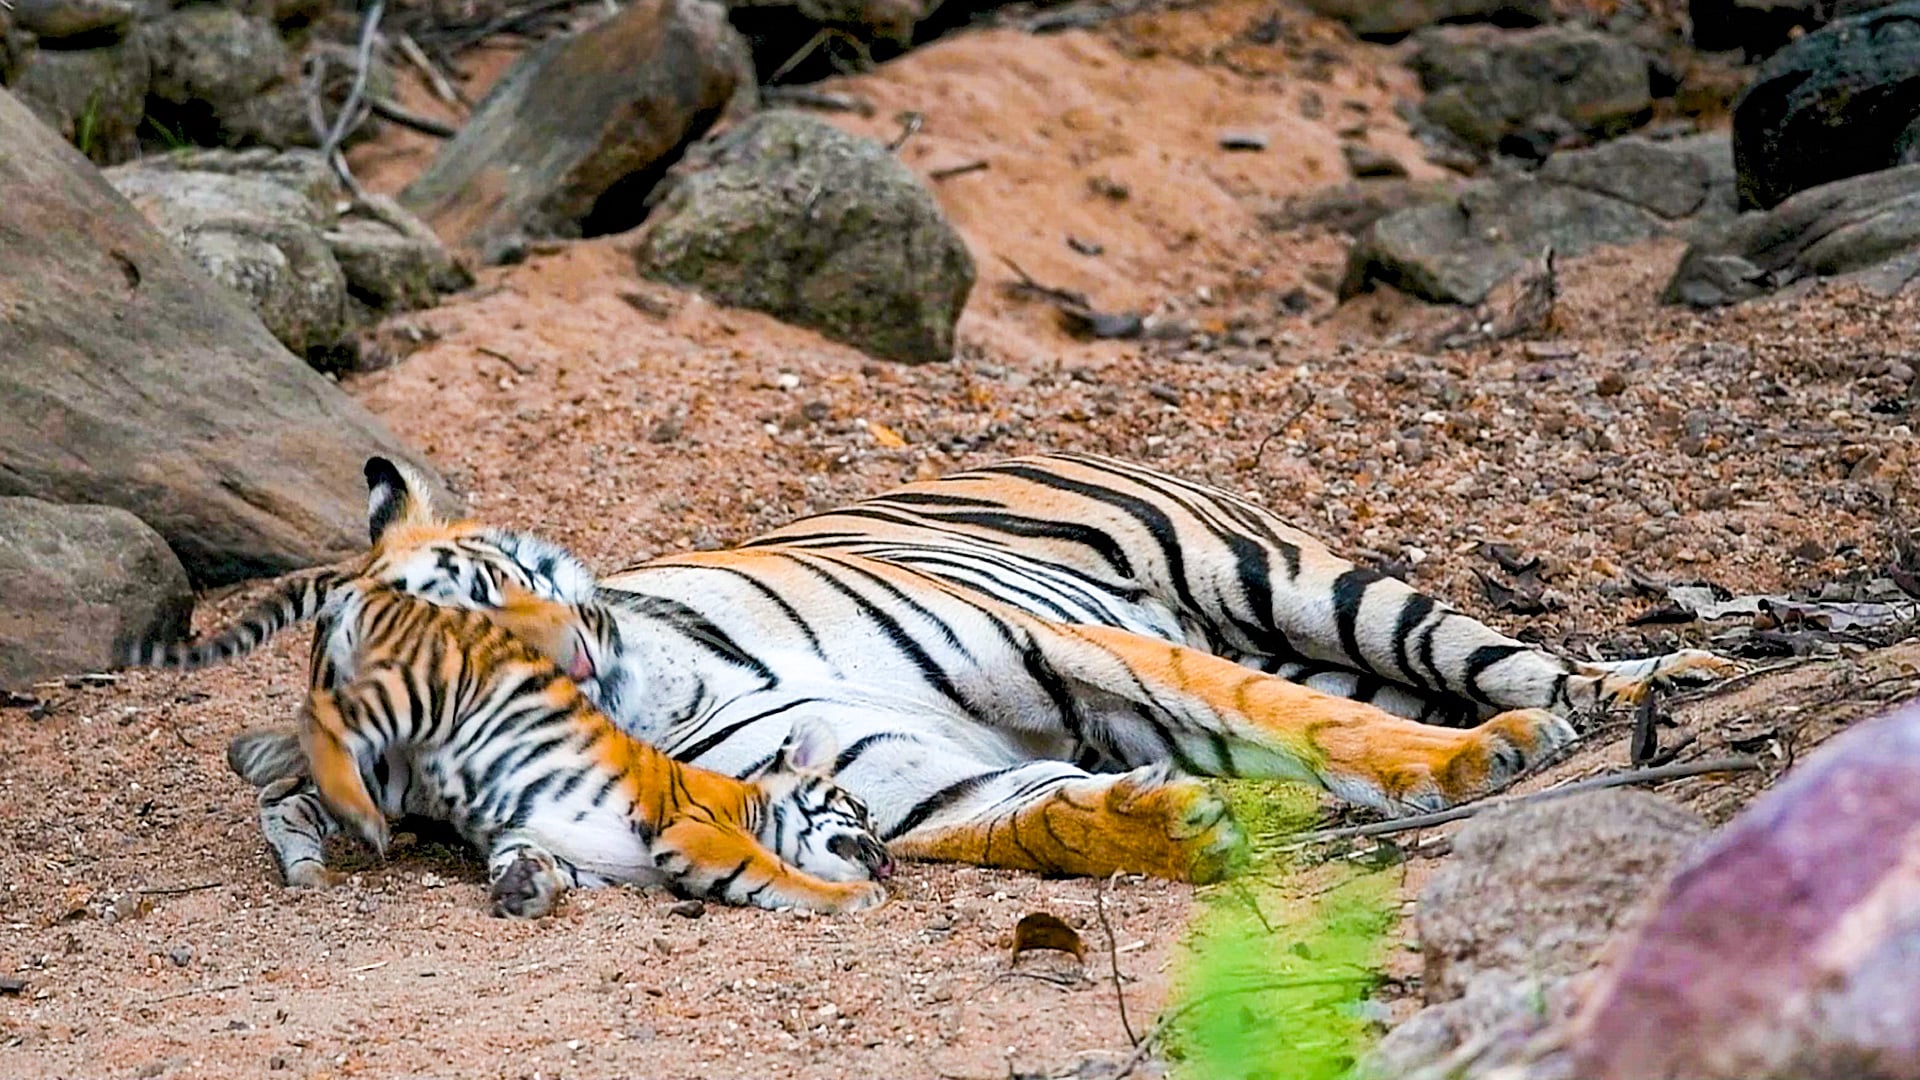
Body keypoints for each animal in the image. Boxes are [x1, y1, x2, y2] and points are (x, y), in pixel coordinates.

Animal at [290, 576, 888, 917]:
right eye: (861, 811)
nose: (886, 863)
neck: (749, 802)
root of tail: (383, 590)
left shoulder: (563, 847)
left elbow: (532, 859)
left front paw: (526, 887)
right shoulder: (698, 830)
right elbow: (775, 872)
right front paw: (855, 897)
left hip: (390, 754)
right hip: (419, 693)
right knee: (316, 719)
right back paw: (357, 821)